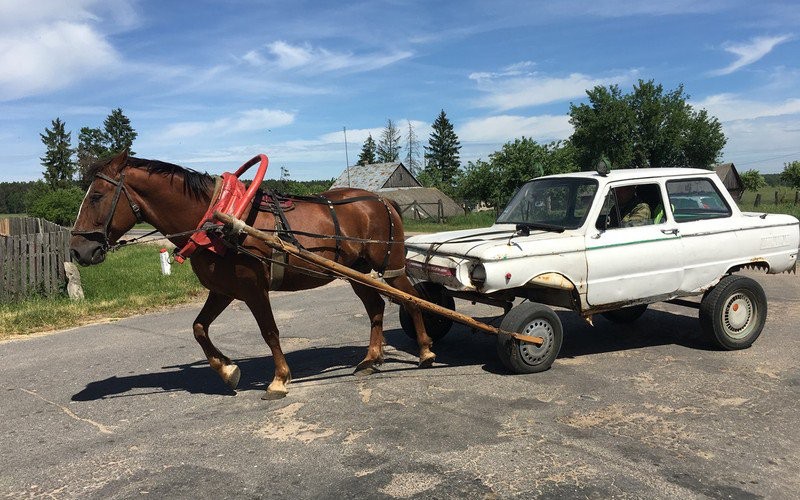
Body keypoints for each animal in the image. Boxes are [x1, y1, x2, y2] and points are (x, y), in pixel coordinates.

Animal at [71, 151, 434, 398]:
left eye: (98, 196)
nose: (77, 250)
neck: (219, 220)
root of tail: (383, 200)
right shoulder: (223, 290)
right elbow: (199, 328)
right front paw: (228, 370)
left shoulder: (254, 288)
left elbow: (270, 332)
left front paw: (279, 379)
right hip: (356, 272)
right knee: (376, 308)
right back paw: (370, 360)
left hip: (389, 266)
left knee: (412, 298)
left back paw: (426, 352)